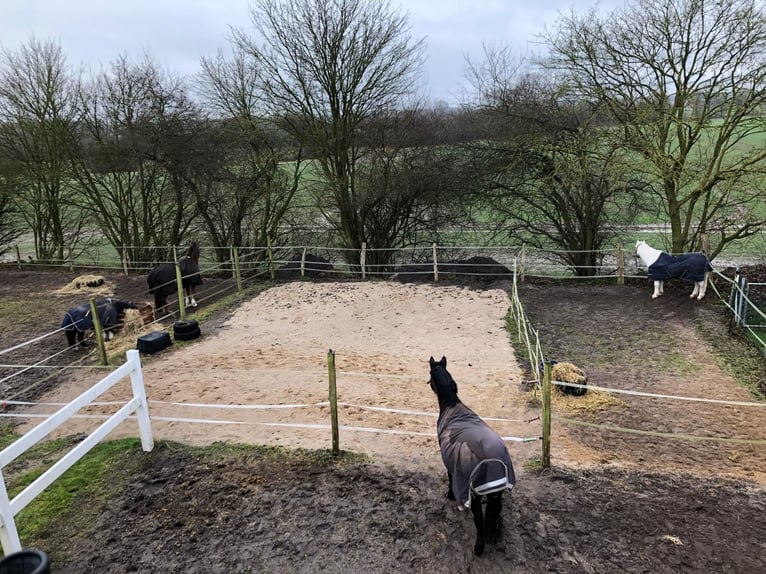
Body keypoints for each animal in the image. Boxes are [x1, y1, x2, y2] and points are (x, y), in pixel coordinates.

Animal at [428, 356, 516, 556]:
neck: (452, 405)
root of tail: (493, 459)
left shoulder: (450, 462)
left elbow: (449, 477)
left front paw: (450, 495)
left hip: (475, 494)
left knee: (479, 519)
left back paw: (479, 548)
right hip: (495, 493)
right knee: (495, 513)